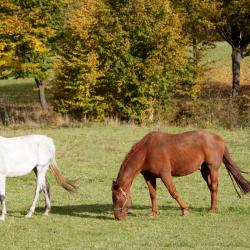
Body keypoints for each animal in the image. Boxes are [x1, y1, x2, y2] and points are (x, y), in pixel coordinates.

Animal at [112, 130, 250, 220]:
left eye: (116, 198)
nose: (117, 217)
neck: (147, 150)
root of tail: (219, 138)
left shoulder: (165, 174)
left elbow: (173, 192)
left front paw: (185, 210)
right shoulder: (149, 176)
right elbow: (153, 195)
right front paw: (153, 213)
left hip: (213, 168)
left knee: (215, 187)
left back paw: (212, 210)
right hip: (204, 170)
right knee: (211, 187)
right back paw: (212, 207)